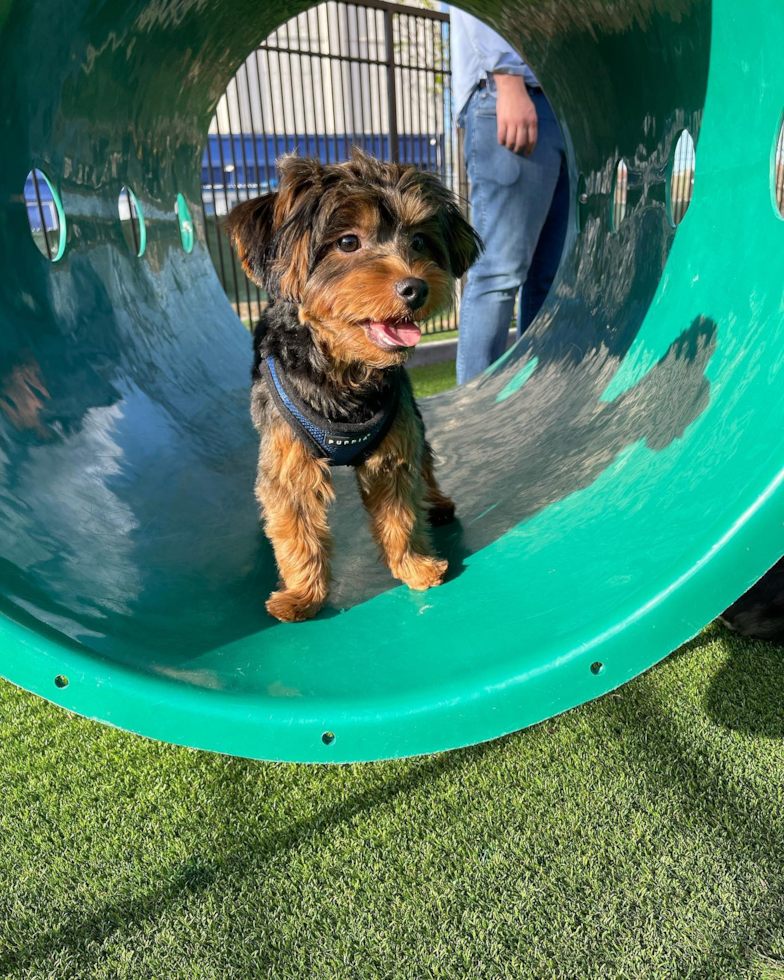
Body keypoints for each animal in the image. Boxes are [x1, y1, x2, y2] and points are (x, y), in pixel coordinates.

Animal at [227, 147, 480, 620]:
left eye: (419, 241)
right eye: (347, 242)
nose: (415, 288)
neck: (344, 372)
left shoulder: (395, 443)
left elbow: (400, 512)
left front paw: (413, 565)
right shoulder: (287, 457)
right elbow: (296, 529)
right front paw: (301, 596)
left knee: (425, 461)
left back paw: (436, 501)